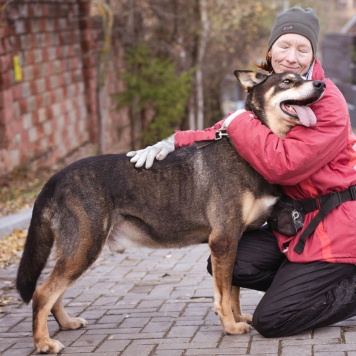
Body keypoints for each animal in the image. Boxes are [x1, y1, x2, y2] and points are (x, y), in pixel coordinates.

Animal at [15, 70, 324, 354]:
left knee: (55, 294)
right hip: (84, 247)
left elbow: (233, 290)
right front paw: (230, 326)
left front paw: (237, 318)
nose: (321, 84)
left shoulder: (238, 239)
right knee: (42, 293)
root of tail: (56, 178)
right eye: (287, 81)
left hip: (78, 250)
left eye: (303, 77)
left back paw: (66, 324)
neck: (249, 149)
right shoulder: (223, 240)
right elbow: (223, 295)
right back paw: (43, 343)